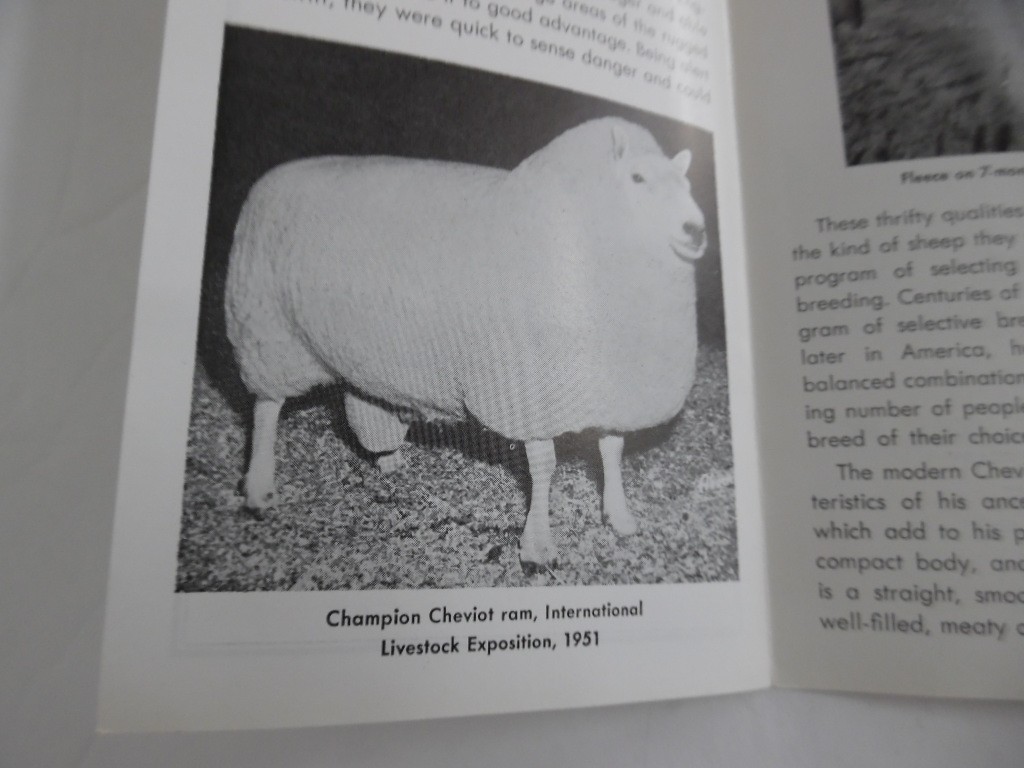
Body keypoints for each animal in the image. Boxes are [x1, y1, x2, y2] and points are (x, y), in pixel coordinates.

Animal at [224, 117, 707, 569]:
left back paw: (386, 458)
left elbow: (612, 450)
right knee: (266, 407)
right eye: (637, 178)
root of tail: (273, 177)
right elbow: (544, 466)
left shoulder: (611, 388)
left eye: (687, 184)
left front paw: (619, 516)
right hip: (267, 331)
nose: (696, 230)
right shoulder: (527, 392)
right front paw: (537, 546)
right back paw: (259, 486)